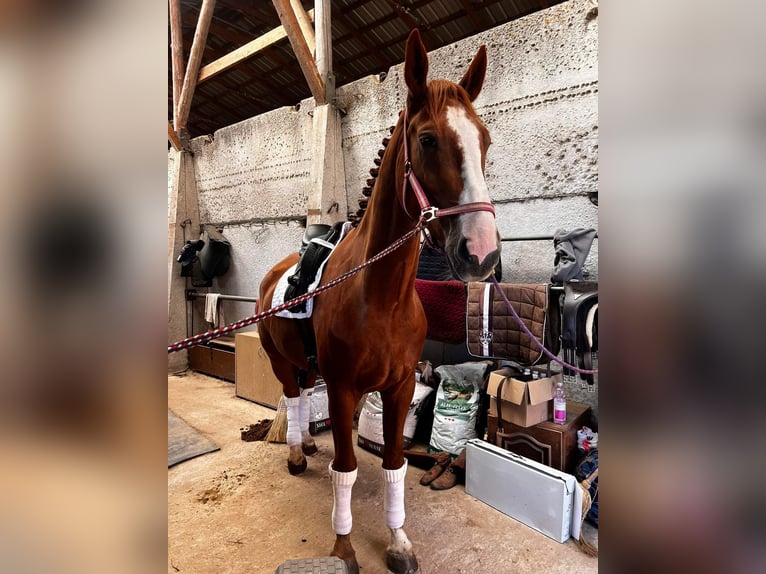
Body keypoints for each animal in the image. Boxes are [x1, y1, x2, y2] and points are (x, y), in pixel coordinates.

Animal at [258, 30, 500, 574]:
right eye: (428, 140)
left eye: (485, 140)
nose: (481, 252)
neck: (381, 296)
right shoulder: (345, 389)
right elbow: (346, 467)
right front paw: (344, 547)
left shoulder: (399, 387)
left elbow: (394, 464)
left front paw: (398, 541)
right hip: (280, 361)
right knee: (292, 395)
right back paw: (296, 453)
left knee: (301, 398)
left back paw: (307, 442)